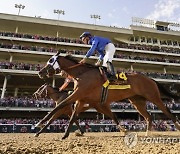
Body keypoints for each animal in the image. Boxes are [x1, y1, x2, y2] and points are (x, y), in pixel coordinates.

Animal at [37, 53, 179, 138]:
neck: (82, 73)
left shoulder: (78, 94)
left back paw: (177, 126)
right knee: (148, 116)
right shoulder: (82, 99)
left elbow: (59, 107)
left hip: (154, 97)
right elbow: (72, 117)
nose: (40, 72)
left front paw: (39, 123)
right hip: (137, 102)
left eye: (50, 61)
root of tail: (150, 79)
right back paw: (147, 132)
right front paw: (65, 134)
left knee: (167, 111)